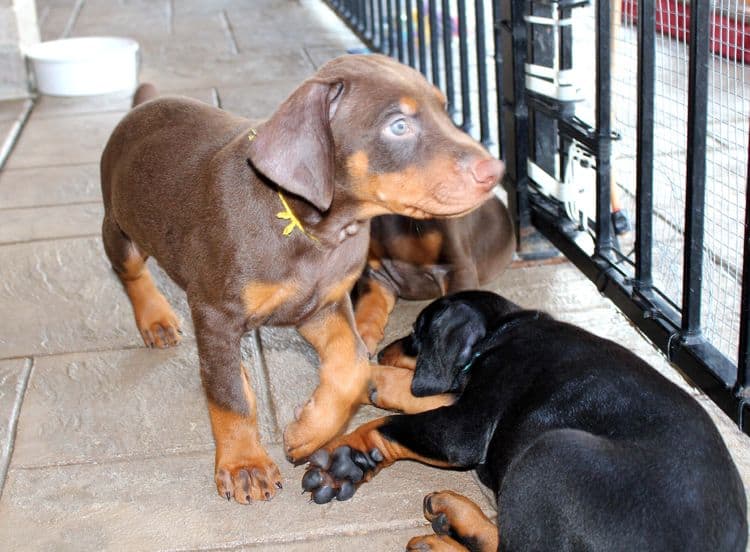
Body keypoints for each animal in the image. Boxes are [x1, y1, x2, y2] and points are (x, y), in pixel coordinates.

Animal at [302, 292, 748, 548]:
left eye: (417, 331)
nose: (382, 352)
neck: (503, 331)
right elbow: (430, 396)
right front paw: (374, 381)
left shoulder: (465, 427)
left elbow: (388, 425)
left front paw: (343, 460)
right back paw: (455, 519)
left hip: (553, 453)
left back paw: (446, 534)